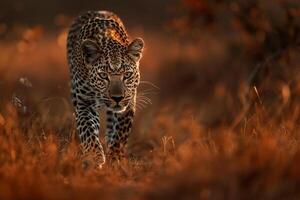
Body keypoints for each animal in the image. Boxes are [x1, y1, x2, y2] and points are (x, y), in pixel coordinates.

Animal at [67, 10, 144, 167]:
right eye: (103, 75)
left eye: (127, 75)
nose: (117, 98)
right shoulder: (84, 103)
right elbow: (88, 131)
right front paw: (95, 156)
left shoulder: (129, 104)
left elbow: (120, 134)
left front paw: (114, 157)